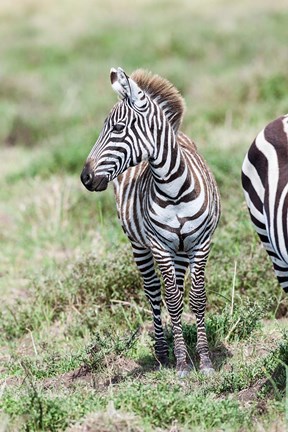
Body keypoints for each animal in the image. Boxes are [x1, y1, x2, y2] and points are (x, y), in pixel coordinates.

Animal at [81, 66, 220, 374]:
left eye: (117, 128)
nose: (85, 178)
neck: (175, 189)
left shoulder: (201, 243)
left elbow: (196, 298)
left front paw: (204, 359)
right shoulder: (158, 246)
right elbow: (171, 299)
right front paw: (181, 362)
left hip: (179, 249)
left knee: (175, 288)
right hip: (139, 245)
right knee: (155, 291)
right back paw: (162, 349)